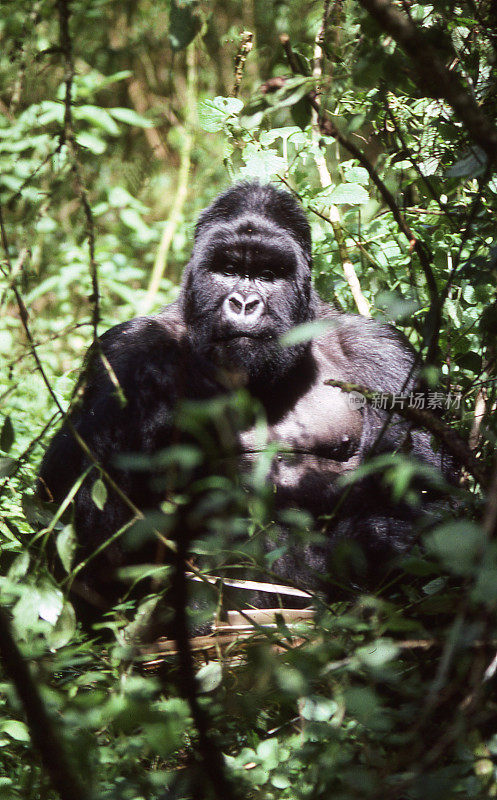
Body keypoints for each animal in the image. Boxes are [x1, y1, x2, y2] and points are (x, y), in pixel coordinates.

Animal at [38, 184, 448, 616]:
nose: (245, 302)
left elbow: (429, 492)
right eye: (228, 270)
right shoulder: (125, 352)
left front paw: (375, 537)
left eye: (268, 275)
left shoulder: (383, 355)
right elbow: (77, 511)